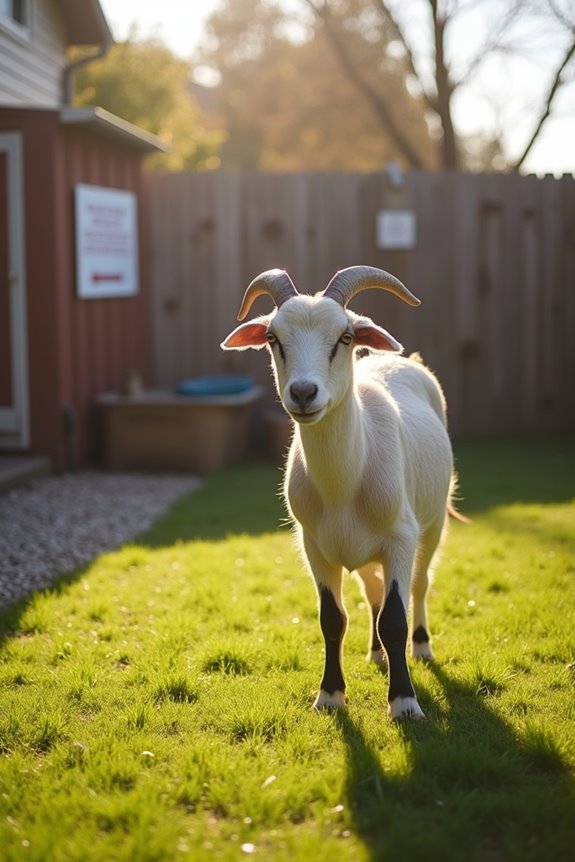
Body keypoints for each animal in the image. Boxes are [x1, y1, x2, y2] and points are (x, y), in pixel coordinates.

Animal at [222, 266, 454, 720]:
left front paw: (404, 703)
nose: (303, 393)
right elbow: (333, 618)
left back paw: (421, 648)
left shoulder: (400, 538)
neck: (344, 484)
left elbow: (395, 618)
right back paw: (377, 654)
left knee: (419, 585)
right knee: (373, 595)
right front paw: (329, 695)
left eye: (344, 337)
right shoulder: (315, 545)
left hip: (433, 523)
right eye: (273, 338)